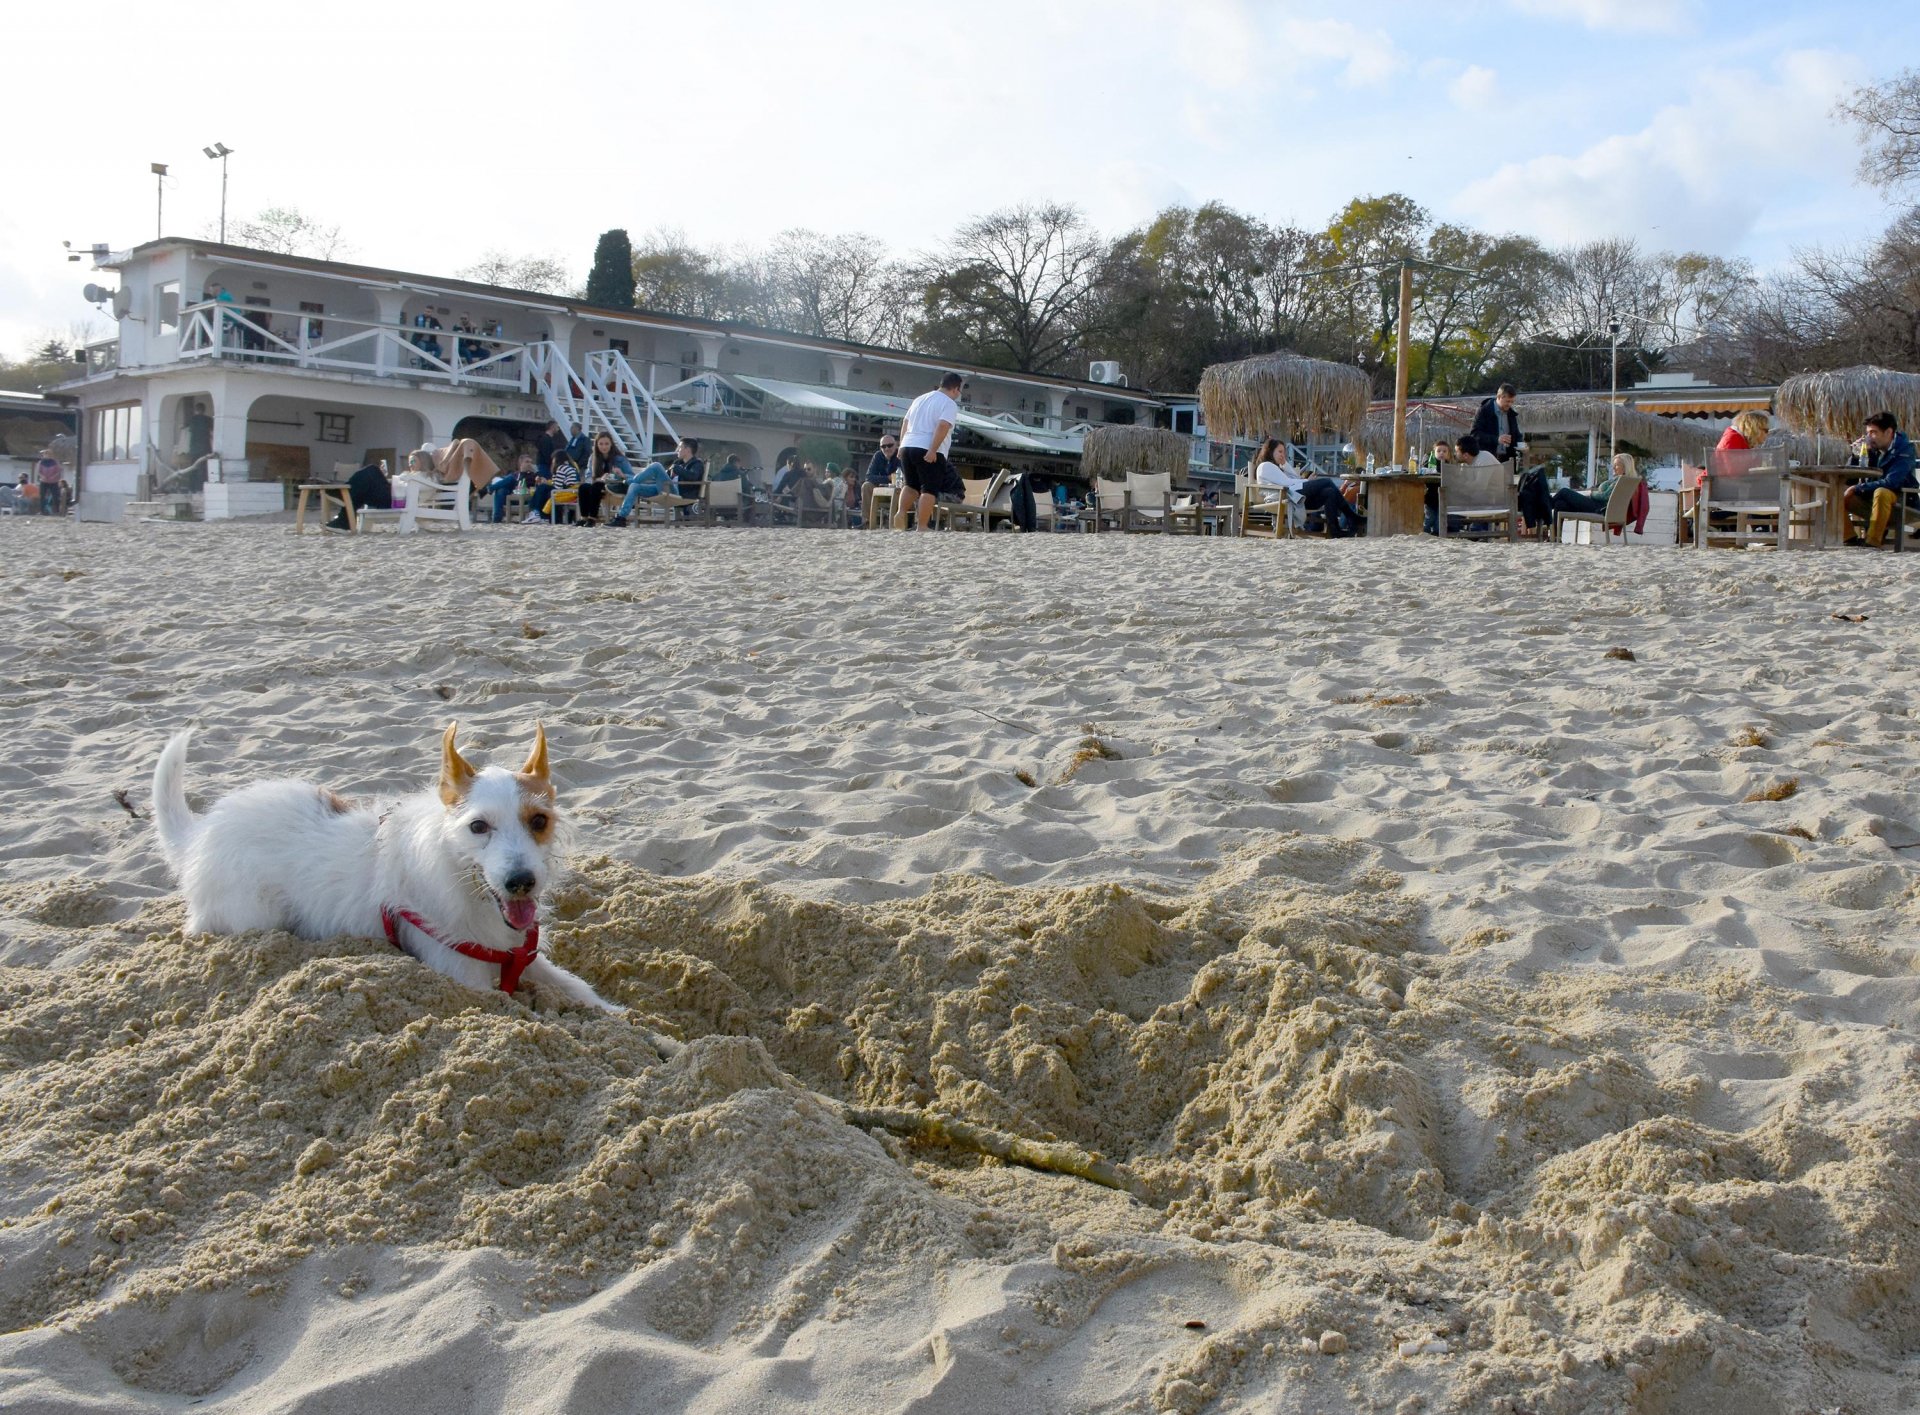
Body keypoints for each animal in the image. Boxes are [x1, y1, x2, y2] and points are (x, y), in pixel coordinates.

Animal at [151, 721, 614, 1013]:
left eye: (539, 821)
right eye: (478, 826)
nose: (521, 882)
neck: (463, 882)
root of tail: (200, 836)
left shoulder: (522, 957)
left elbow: (581, 990)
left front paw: (628, 1021)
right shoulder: (467, 979)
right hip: (253, 915)